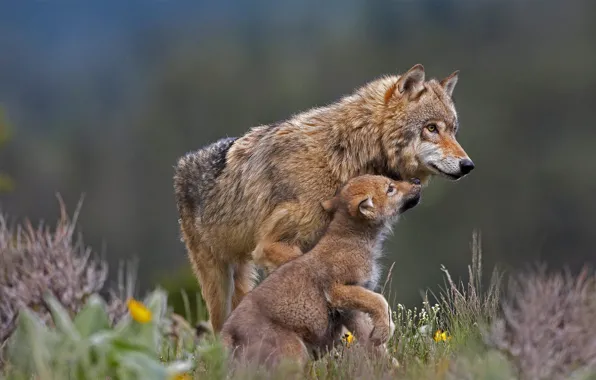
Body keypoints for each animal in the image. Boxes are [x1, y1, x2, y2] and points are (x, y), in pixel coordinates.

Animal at [172, 63, 474, 332]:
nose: (468, 165)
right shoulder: (272, 245)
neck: (341, 156)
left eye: (453, 130)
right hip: (217, 280)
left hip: (242, 273)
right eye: (431, 128)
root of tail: (183, 162)